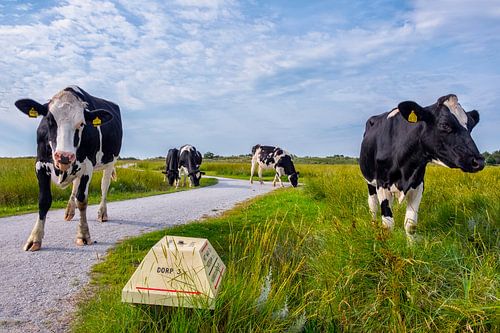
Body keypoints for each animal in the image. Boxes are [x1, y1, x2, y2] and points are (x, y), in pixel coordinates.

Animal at [14, 86, 122, 252]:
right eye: (49, 120)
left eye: (82, 124)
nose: (64, 156)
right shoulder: (40, 164)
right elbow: (44, 200)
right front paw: (35, 238)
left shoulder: (87, 166)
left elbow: (82, 200)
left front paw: (83, 235)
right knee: (75, 186)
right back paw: (69, 211)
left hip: (110, 162)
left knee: (104, 186)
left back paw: (102, 213)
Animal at [360, 93, 484, 239]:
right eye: (444, 125)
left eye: (470, 126)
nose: (479, 161)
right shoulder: (382, 184)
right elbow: (388, 224)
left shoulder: (418, 183)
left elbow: (410, 224)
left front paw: (411, 244)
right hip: (370, 181)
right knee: (372, 206)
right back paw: (373, 225)